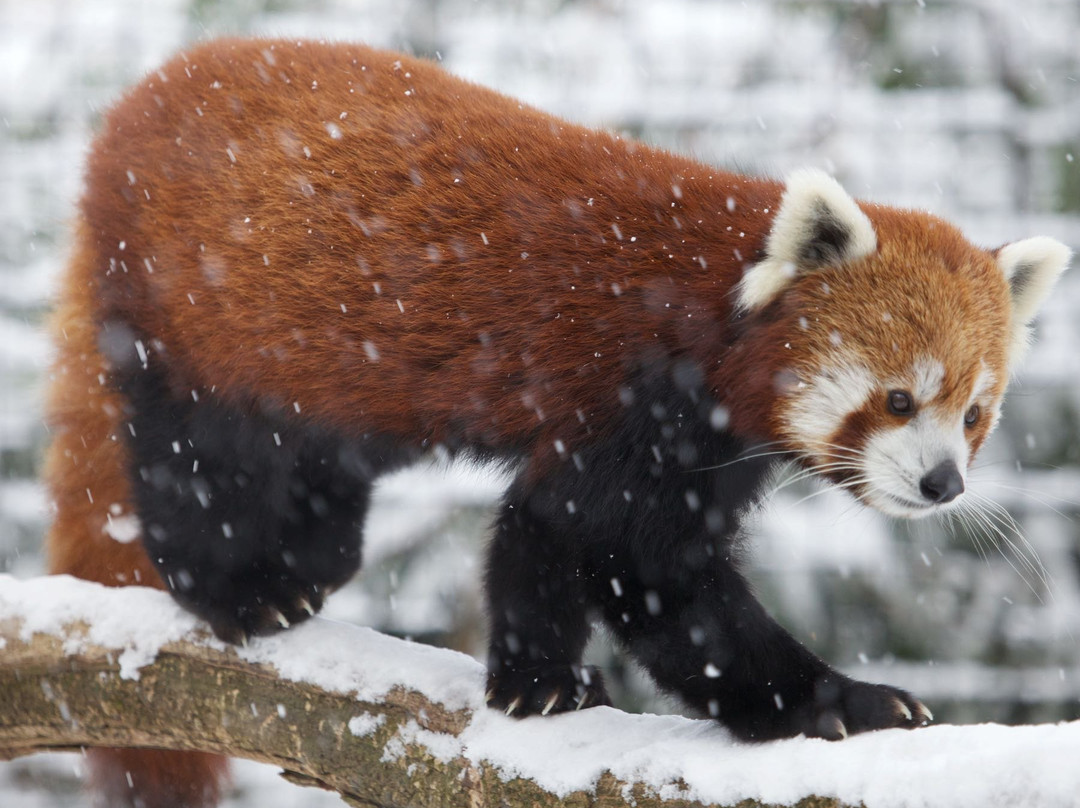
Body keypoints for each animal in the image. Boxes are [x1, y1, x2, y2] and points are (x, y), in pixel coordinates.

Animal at [46, 37, 1067, 808]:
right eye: (899, 399)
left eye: (974, 414)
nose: (943, 484)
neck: (713, 323)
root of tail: (128, 108)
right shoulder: (634, 401)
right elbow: (644, 567)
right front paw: (838, 701)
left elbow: (548, 538)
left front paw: (538, 677)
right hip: (194, 314)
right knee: (195, 455)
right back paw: (238, 589)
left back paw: (314, 555)